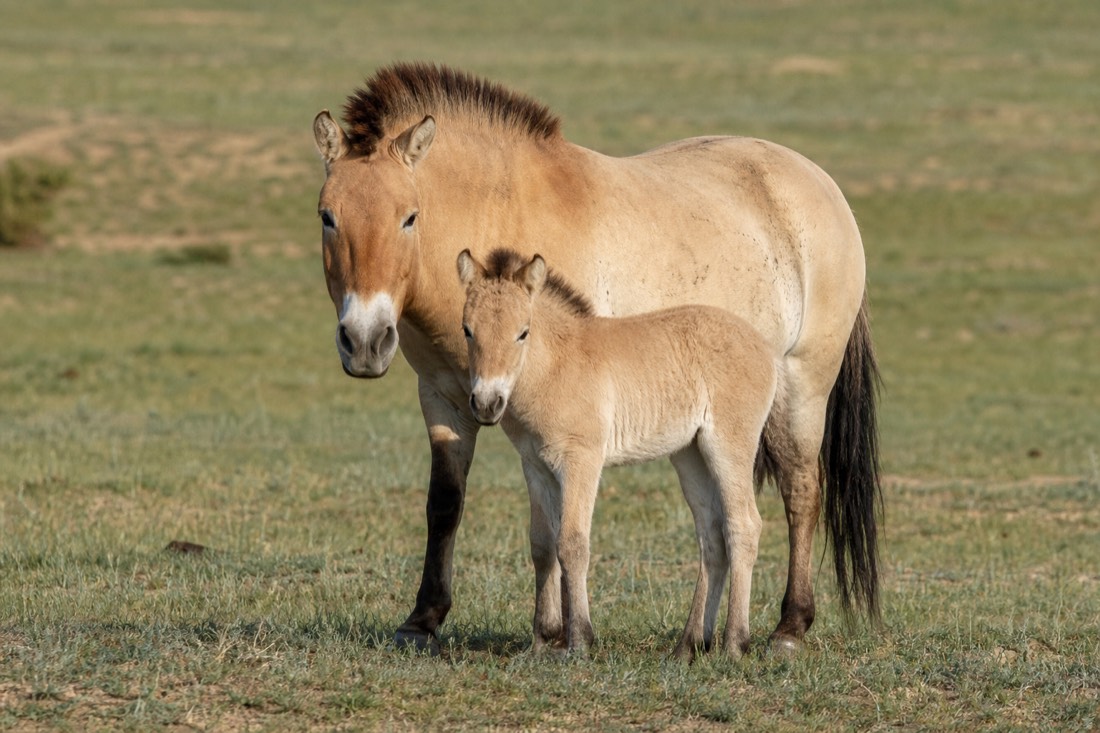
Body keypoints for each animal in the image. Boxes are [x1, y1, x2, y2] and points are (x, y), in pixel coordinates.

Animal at [458, 247, 780, 659]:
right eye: (467, 330)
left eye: (522, 332)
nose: (486, 404)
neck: (555, 366)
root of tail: (765, 347)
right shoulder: (534, 465)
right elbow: (542, 544)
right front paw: (542, 639)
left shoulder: (581, 460)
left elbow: (572, 543)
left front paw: (580, 640)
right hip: (691, 455)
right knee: (712, 537)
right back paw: (689, 645)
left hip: (729, 446)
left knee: (744, 526)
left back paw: (735, 643)